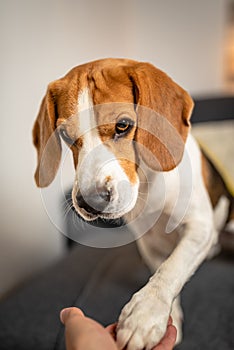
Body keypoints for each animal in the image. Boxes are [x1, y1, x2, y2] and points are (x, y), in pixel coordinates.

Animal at [32, 59, 232, 350]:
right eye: (66, 136)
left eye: (123, 126)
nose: (89, 201)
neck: (147, 182)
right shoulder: (149, 243)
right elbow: (163, 267)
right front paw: (170, 317)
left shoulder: (200, 227)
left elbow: (171, 268)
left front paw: (145, 314)